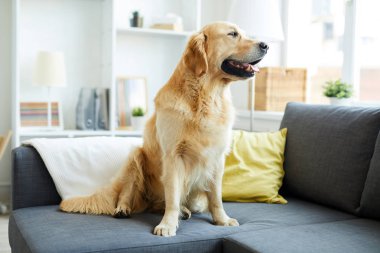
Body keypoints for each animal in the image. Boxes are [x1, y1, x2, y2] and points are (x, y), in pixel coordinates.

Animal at [60, 22, 268, 237]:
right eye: (232, 34)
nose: (265, 45)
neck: (207, 97)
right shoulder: (173, 156)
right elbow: (173, 197)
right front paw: (167, 225)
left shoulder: (217, 158)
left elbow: (216, 197)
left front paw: (222, 220)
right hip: (136, 156)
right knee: (128, 192)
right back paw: (124, 208)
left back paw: (184, 211)